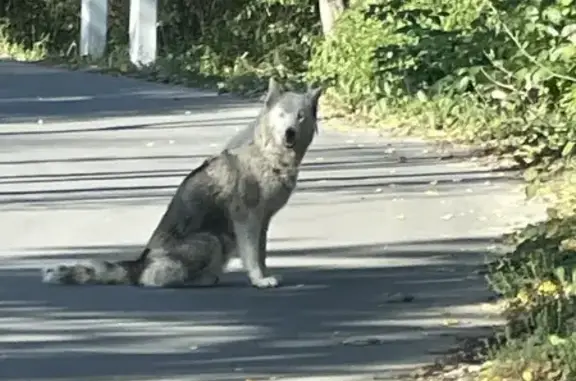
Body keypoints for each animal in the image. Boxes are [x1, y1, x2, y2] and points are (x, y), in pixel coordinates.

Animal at [44, 78, 324, 290]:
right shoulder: (247, 219)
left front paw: (264, 275)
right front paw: (259, 280)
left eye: (300, 117)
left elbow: (261, 254)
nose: (289, 133)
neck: (268, 156)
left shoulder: (263, 220)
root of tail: (139, 263)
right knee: (153, 279)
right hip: (211, 239)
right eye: (281, 115)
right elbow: (252, 255)